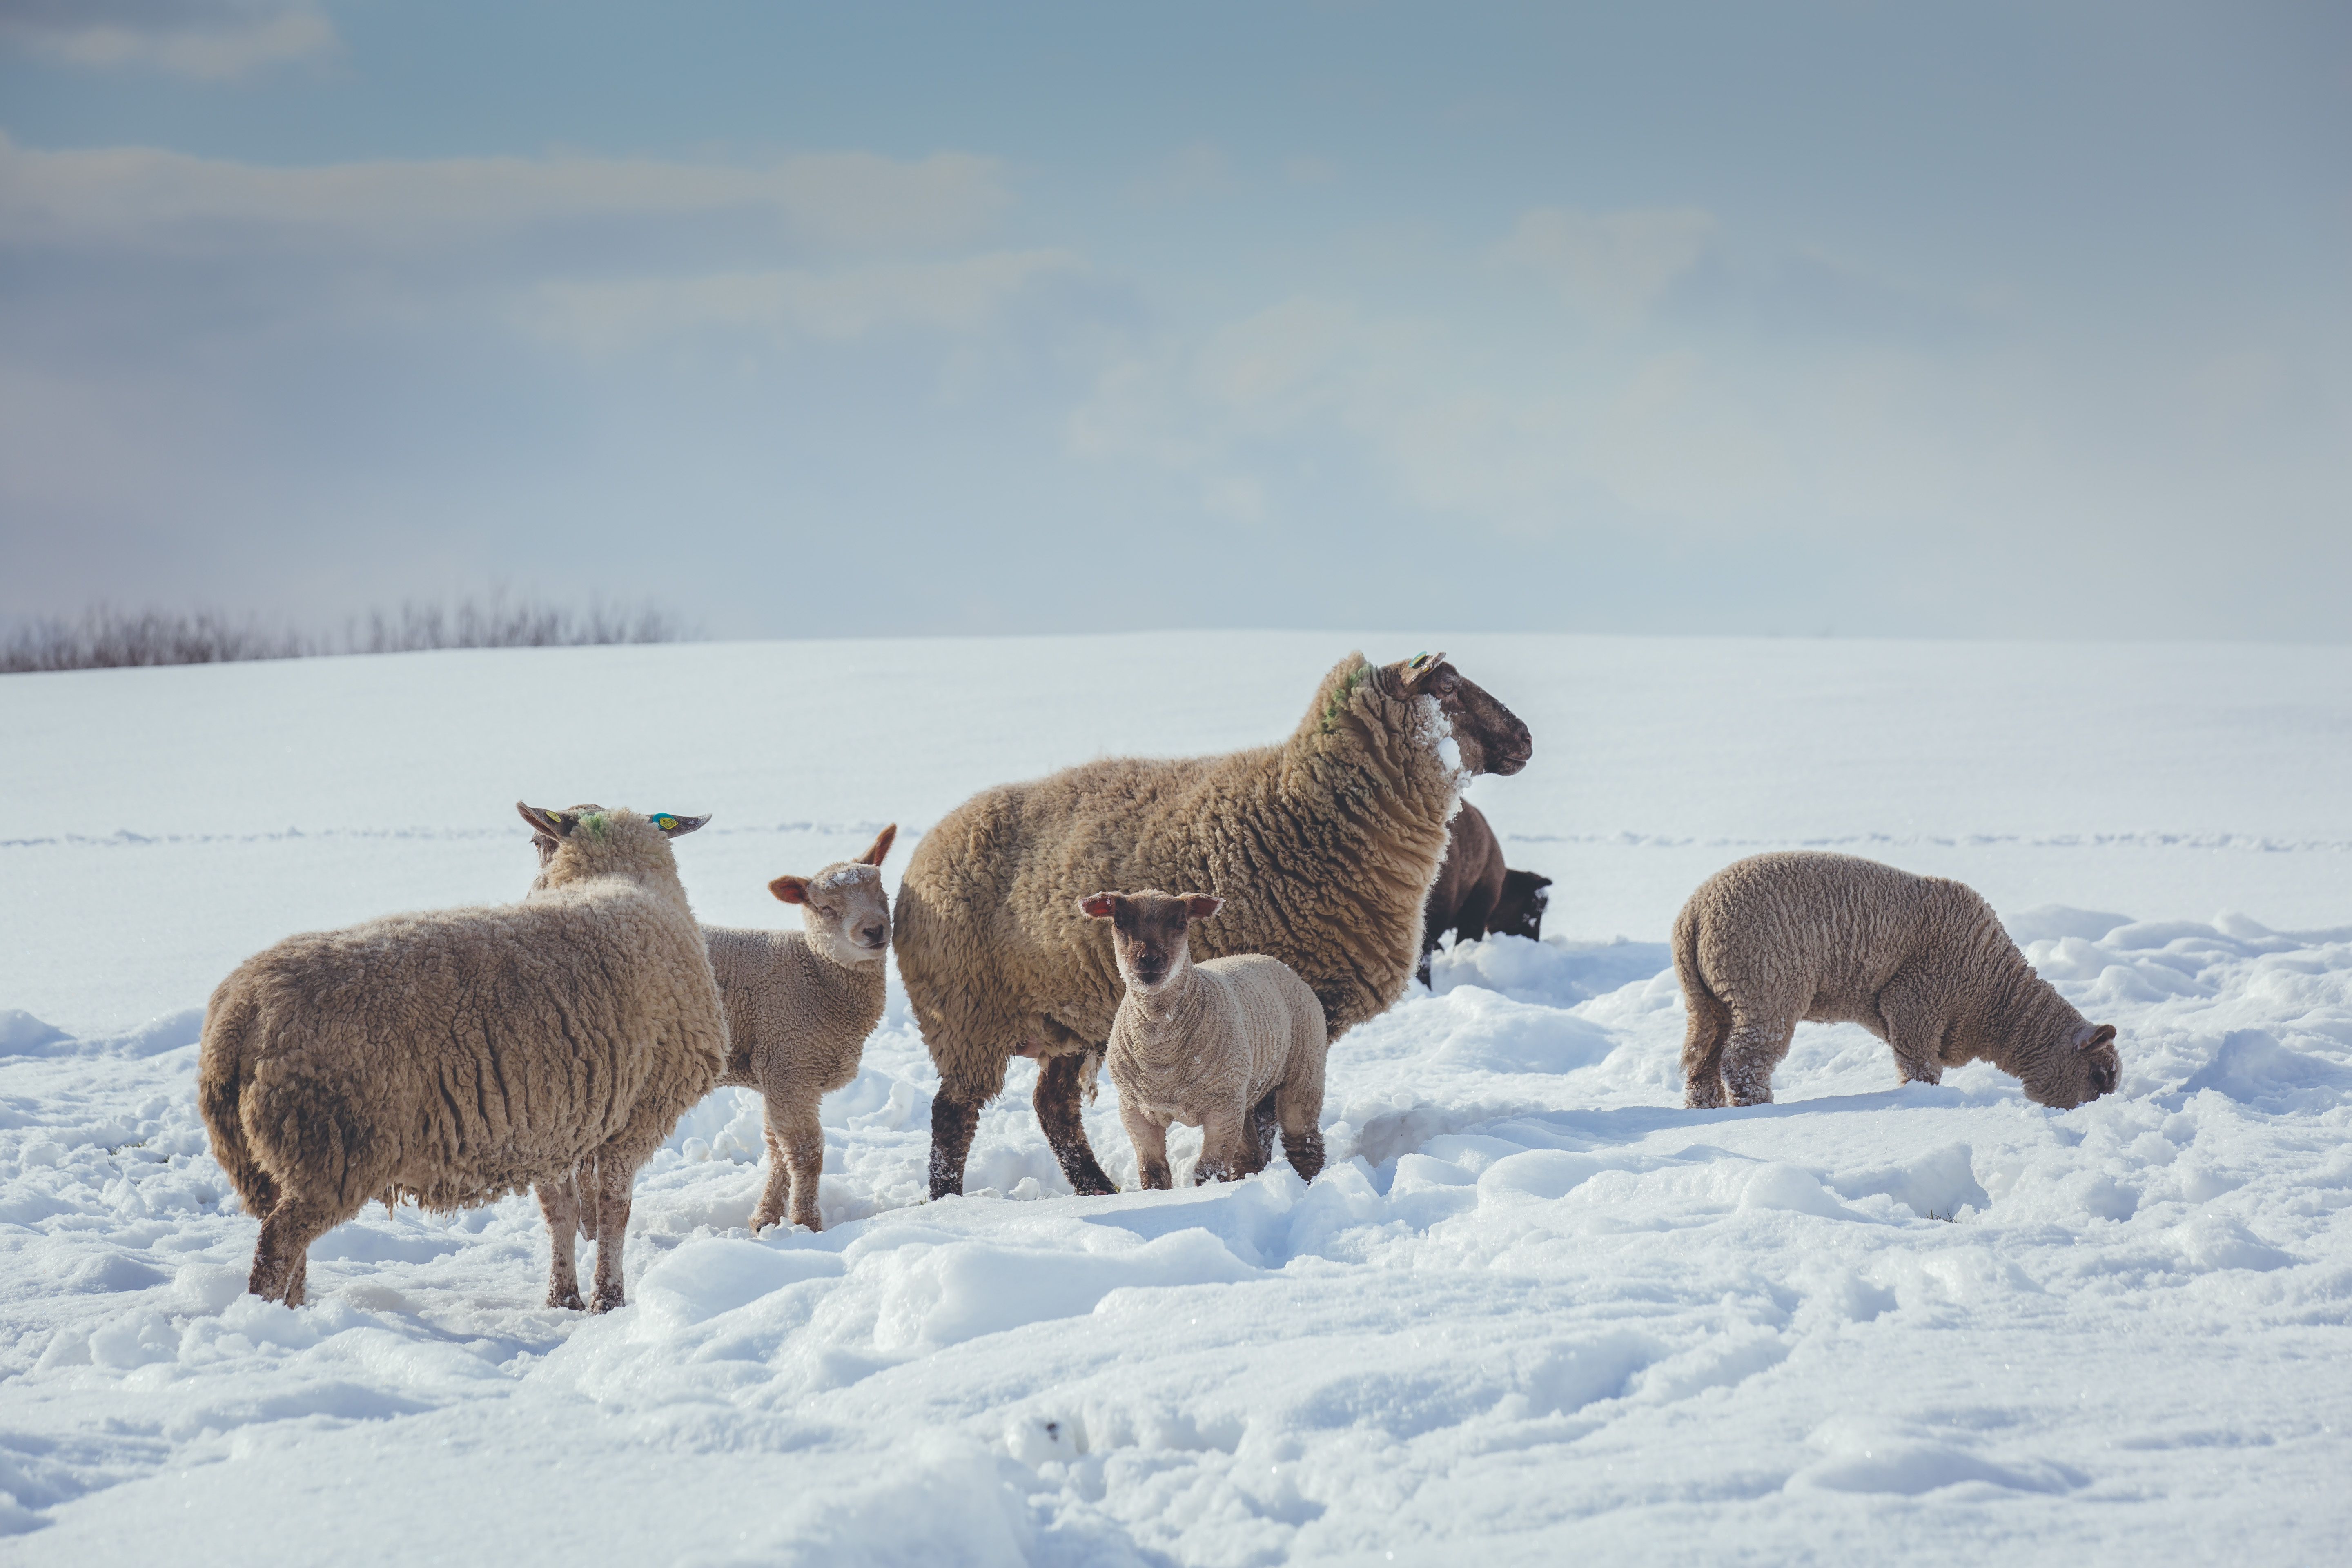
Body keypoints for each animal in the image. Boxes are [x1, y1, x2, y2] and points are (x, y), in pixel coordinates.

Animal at [197, 808, 719, 1316]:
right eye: (537, 844)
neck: (619, 877)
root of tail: (239, 1010)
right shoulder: (636, 1115)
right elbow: (614, 1212)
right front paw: (607, 1301)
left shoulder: (553, 1126)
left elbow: (562, 1213)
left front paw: (564, 1299)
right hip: (331, 1145)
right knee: (278, 1243)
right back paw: (266, 1319)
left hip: (268, 1155)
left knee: (287, 1244)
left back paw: (294, 1315)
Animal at [889, 648, 1533, 1203]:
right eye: (1447, 688)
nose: (1526, 739)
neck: (1309, 813)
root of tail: (920, 860)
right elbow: (1260, 1119)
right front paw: (1252, 1176)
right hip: (966, 1015)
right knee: (953, 1115)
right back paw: (949, 1199)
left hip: (1061, 1021)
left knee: (1053, 1109)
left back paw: (1097, 1188)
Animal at [1675, 851, 2136, 1109]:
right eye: (2099, 1076)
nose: (2098, 1113)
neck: (1996, 997)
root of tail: (1694, 913)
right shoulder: (1917, 1004)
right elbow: (1921, 1069)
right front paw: (1922, 1102)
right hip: (1765, 989)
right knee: (1743, 1064)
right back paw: (1761, 1109)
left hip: (1708, 1001)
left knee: (1702, 1061)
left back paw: (1706, 1108)